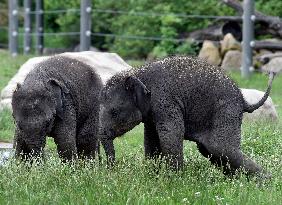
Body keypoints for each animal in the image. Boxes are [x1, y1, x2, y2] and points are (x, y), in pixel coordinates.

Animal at [99, 55, 276, 176]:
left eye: (114, 112)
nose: (111, 169)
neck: (137, 72)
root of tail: (243, 100)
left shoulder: (166, 101)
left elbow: (171, 134)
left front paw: (173, 178)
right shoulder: (151, 113)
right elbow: (151, 138)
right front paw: (153, 173)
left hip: (226, 110)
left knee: (221, 148)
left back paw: (264, 182)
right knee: (211, 150)